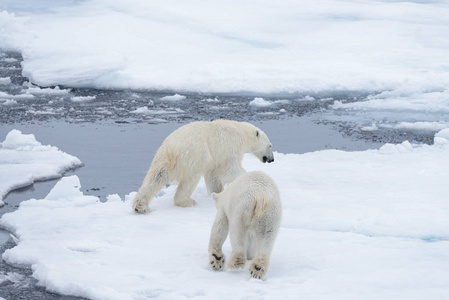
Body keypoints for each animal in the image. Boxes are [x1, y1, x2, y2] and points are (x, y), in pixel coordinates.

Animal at [132, 119, 272, 213]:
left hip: (162, 158)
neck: (241, 131)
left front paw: (217, 193)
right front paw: (247, 176)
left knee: (156, 177)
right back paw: (187, 201)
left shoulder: (216, 158)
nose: (272, 159)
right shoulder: (230, 147)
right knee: (190, 179)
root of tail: (172, 149)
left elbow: (214, 176)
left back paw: (140, 206)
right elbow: (230, 170)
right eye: (270, 145)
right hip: (195, 155)